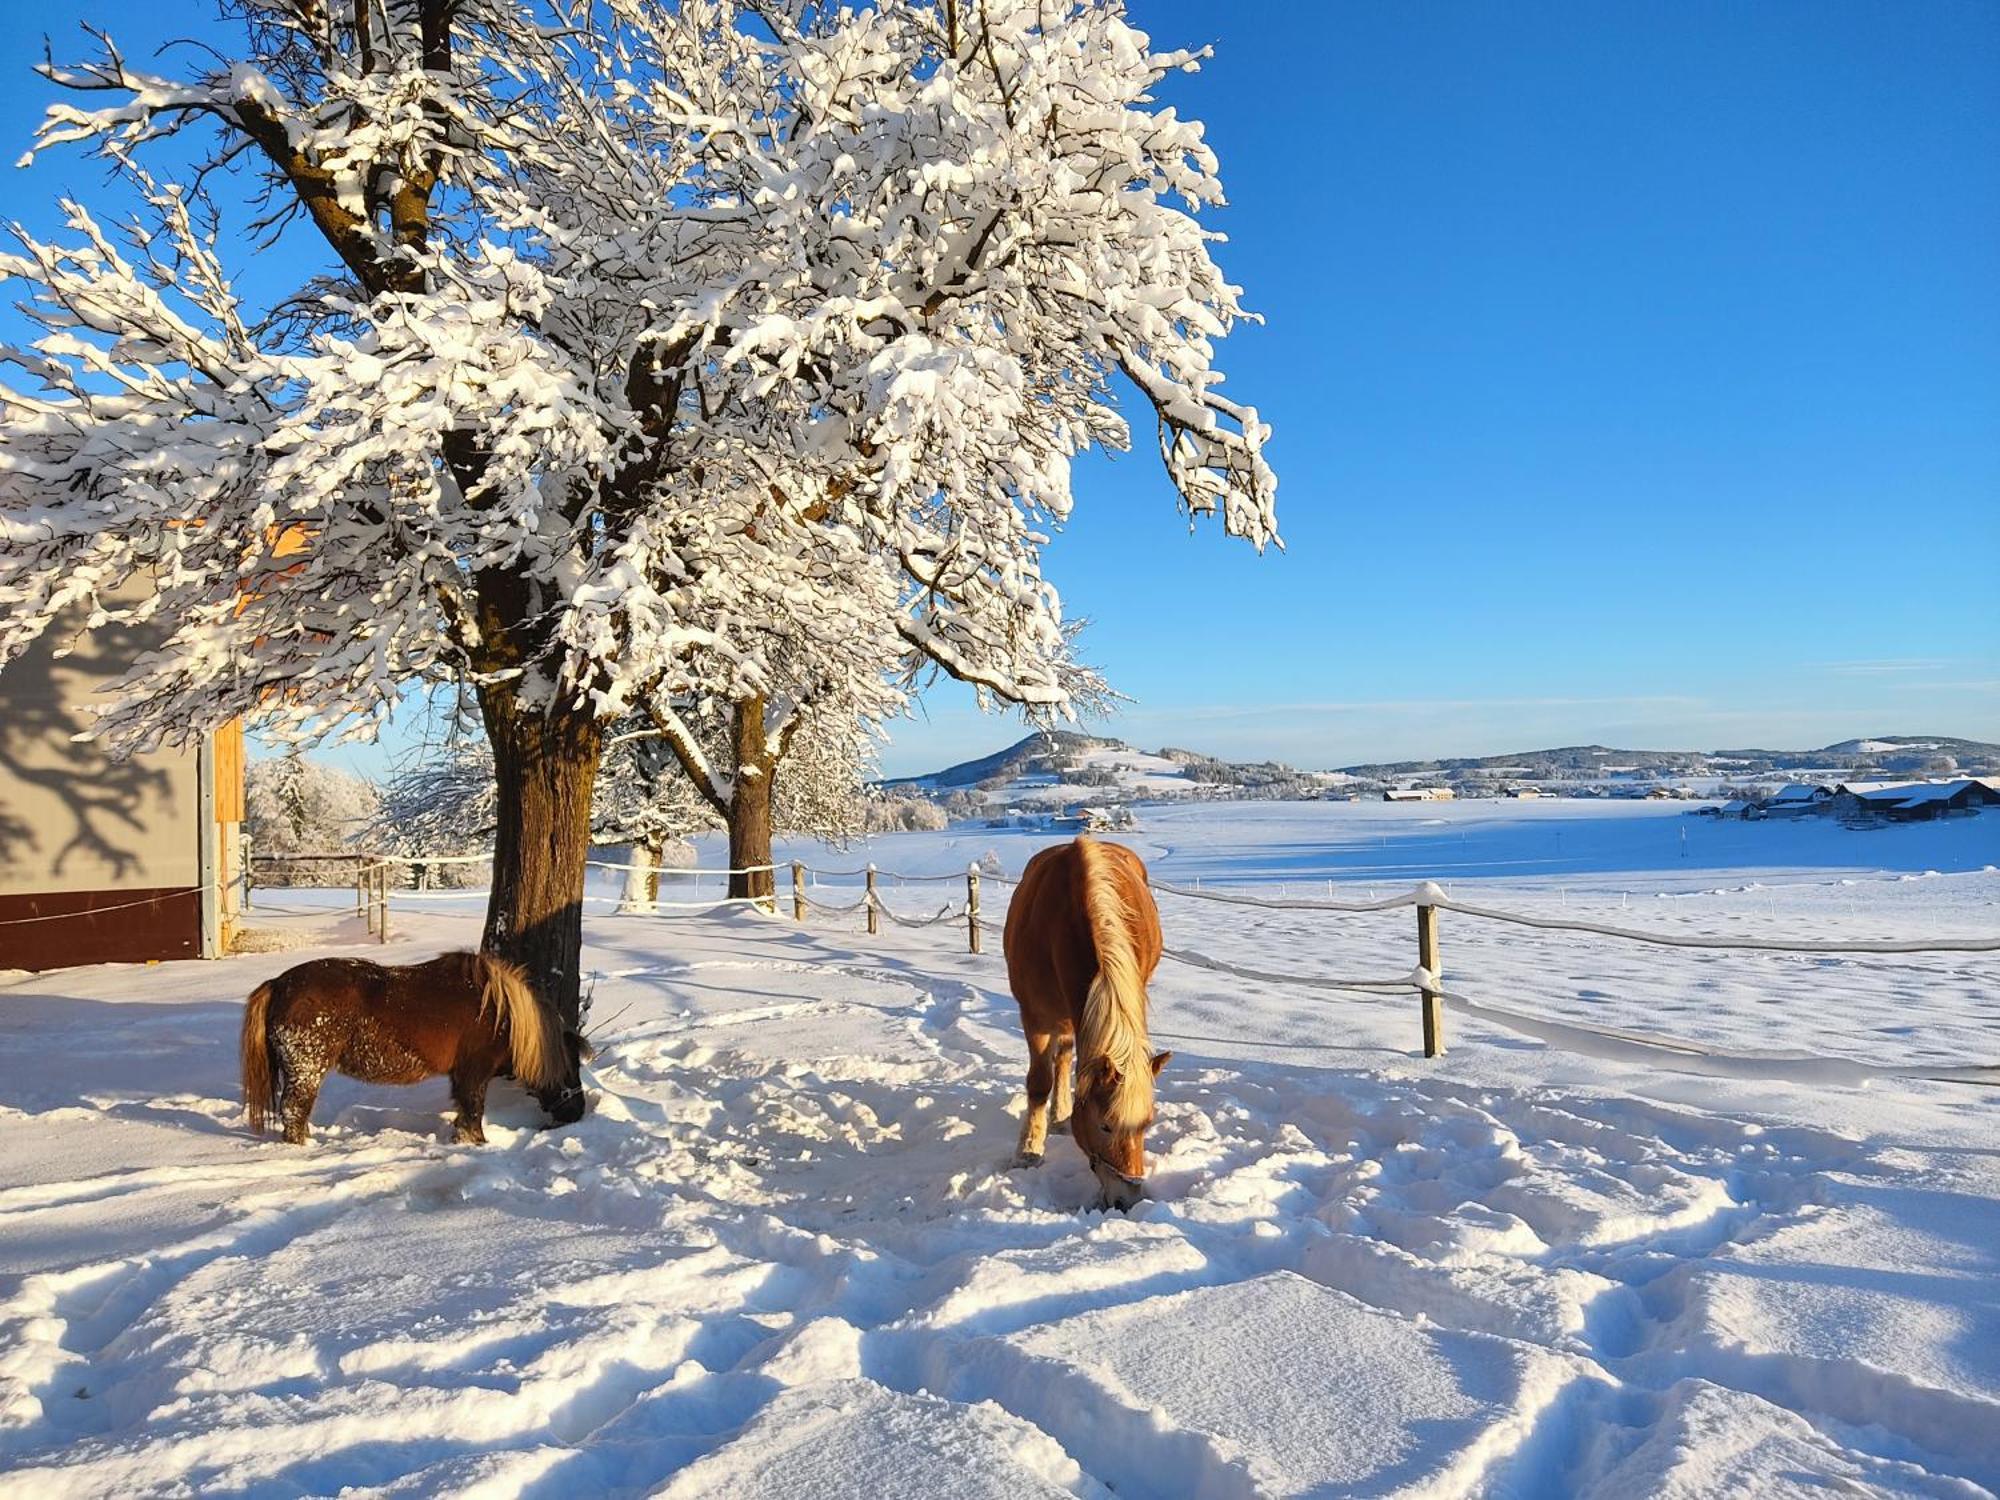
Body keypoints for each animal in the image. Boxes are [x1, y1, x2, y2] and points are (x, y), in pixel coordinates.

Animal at [239, 956, 588, 1144]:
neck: (501, 1014)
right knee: (294, 1111)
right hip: (306, 1071)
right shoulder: (473, 1073)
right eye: (572, 1065)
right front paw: (476, 1144)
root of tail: (278, 984)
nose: (577, 1112)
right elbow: (473, 1111)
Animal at [1008, 840, 1168, 1216]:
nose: (1126, 1201)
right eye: (1105, 1126)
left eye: (1146, 1124)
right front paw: (1029, 1150)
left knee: (1066, 1057)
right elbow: (1039, 1083)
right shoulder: (1035, 1018)